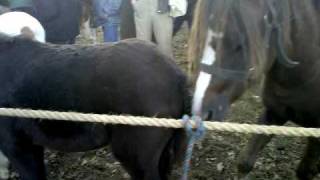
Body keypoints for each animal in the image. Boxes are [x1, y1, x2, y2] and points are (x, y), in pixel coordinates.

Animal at [189, 0, 320, 179]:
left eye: (240, 43)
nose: (200, 113)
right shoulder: (274, 113)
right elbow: (245, 162)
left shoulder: (316, 135)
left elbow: (305, 171)